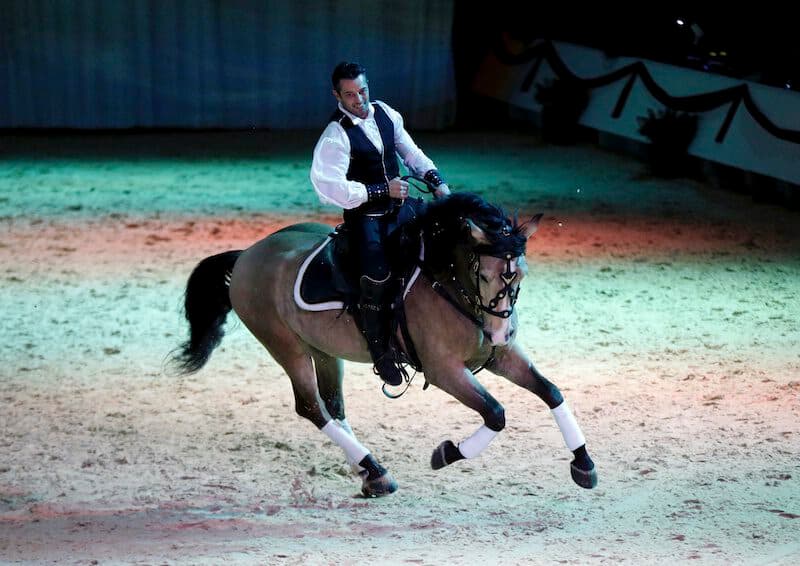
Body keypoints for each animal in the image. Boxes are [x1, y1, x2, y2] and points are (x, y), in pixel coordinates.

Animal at [172, 190, 596, 496]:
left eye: (520, 273)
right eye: (485, 274)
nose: (499, 332)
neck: (446, 284)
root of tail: (247, 254)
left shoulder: (499, 356)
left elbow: (551, 391)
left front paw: (584, 463)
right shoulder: (444, 370)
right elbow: (496, 413)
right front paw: (447, 453)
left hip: (323, 350)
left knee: (334, 407)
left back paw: (368, 471)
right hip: (284, 347)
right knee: (312, 407)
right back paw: (373, 467)